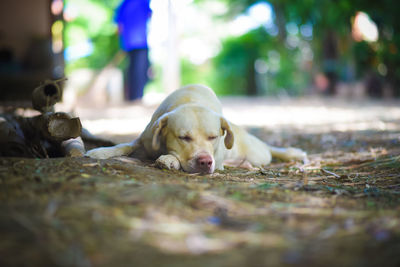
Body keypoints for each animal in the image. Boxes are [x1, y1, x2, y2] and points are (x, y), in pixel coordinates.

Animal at [86, 85, 308, 175]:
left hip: (258, 154)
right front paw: (100, 152)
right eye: (183, 137)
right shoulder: (143, 140)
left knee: (270, 151)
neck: (190, 100)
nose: (205, 162)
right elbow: (123, 146)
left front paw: (169, 159)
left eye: (213, 137)